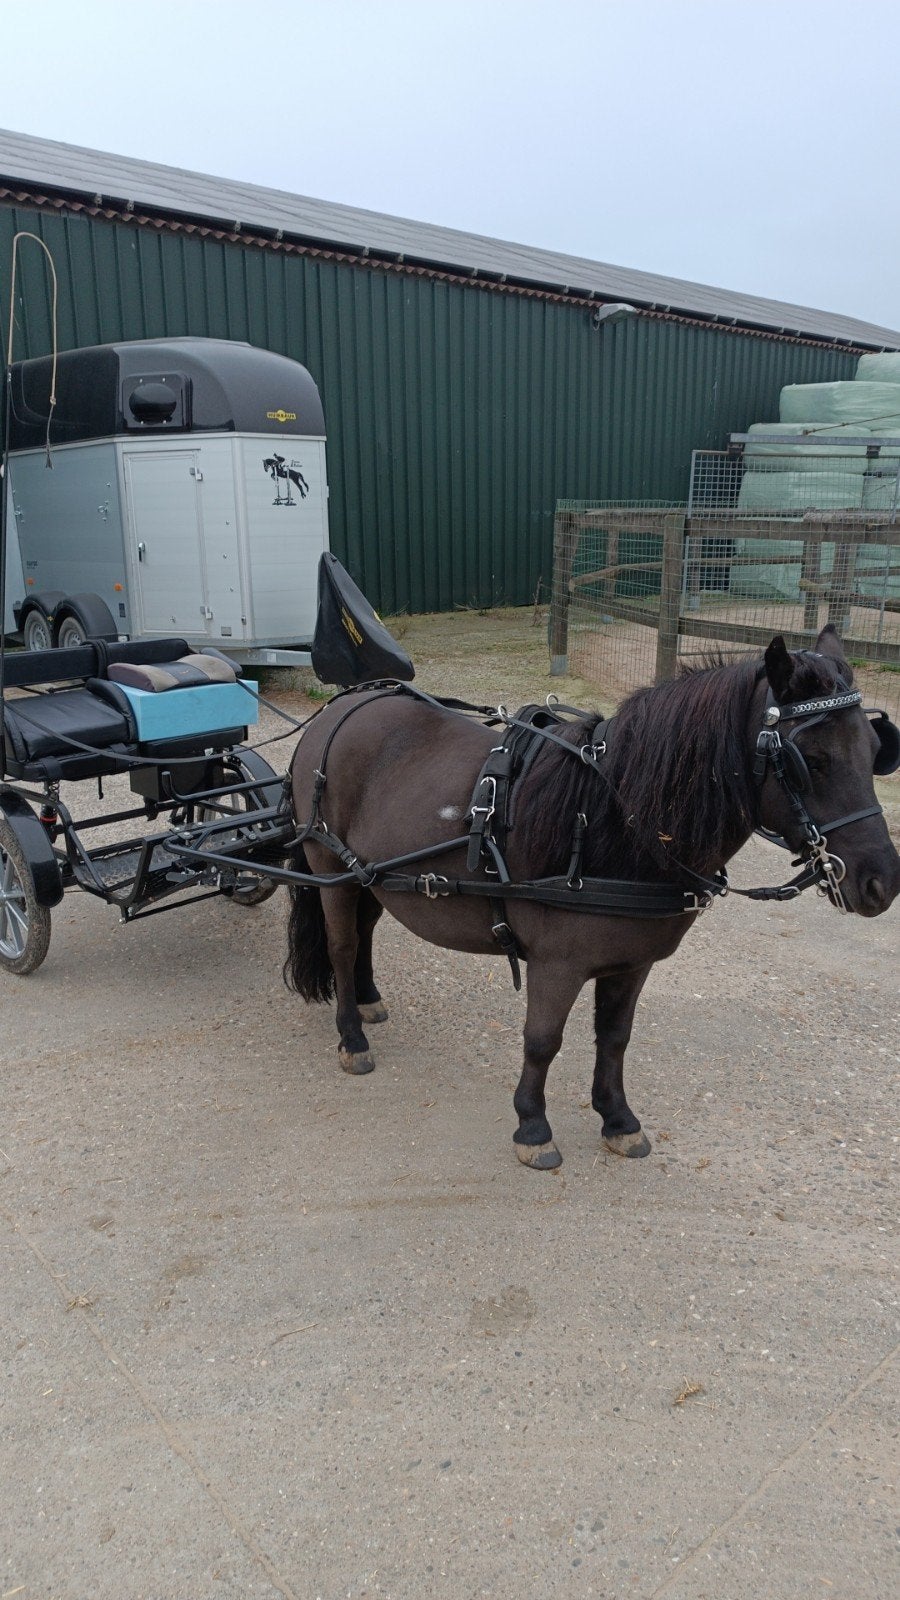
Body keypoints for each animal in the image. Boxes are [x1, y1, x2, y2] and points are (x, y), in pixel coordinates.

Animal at [284, 626, 900, 1170]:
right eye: (810, 760)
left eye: (876, 750)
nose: (882, 882)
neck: (607, 820)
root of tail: (342, 706)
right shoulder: (557, 963)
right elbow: (542, 1040)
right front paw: (533, 1127)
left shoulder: (632, 961)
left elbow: (615, 1038)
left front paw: (618, 1120)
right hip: (329, 864)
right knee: (342, 945)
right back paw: (352, 1036)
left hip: (369, 875)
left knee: (364, 932)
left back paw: (368, 998)